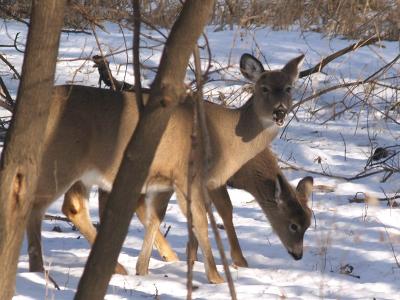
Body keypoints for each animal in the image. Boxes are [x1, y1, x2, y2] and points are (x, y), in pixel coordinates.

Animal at [27, 52, 304, 284]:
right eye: (264, 88)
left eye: (289, 88)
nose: (280, 112)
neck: (222, 137)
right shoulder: (188, 176)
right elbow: (201, 221)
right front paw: (216, 277)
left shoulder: (164, 181)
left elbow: (156, 217)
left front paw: (144, 269)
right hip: (61, 159)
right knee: (36, 205)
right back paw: (38, 270)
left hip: (80, 172)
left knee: (72, 207)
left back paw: (115, 268)